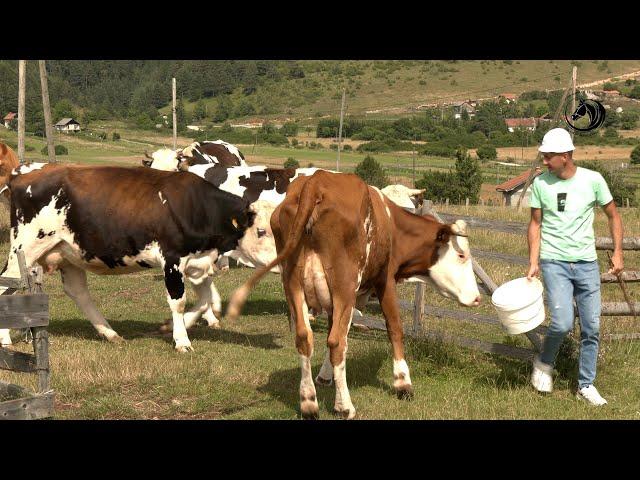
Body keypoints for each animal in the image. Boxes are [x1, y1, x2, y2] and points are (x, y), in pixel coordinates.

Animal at [0, 163, 255, 350]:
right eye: (261, 230)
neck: (196, 206)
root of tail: (23, 175)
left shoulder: (197, 262)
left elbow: (204, 301)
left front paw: (173, 327)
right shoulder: (172, 259)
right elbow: (179, 301)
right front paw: (182, 341)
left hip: (68, 253)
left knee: (78, 292)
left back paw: (110, 333)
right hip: (24, 250)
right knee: (6, 284)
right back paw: (5, 339)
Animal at [226, 171, 480, 418]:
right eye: (461, 255)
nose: (477, 297)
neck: (392, 225)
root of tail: (316, 183)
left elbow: (332, 331)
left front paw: (325, 375)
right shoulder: (384, 281)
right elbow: (394, 329)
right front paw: (402, 382)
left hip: (293, 283)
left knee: (305, 338)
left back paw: (309, 404)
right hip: (344, 286)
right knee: (338, 342)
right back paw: (344, 406)